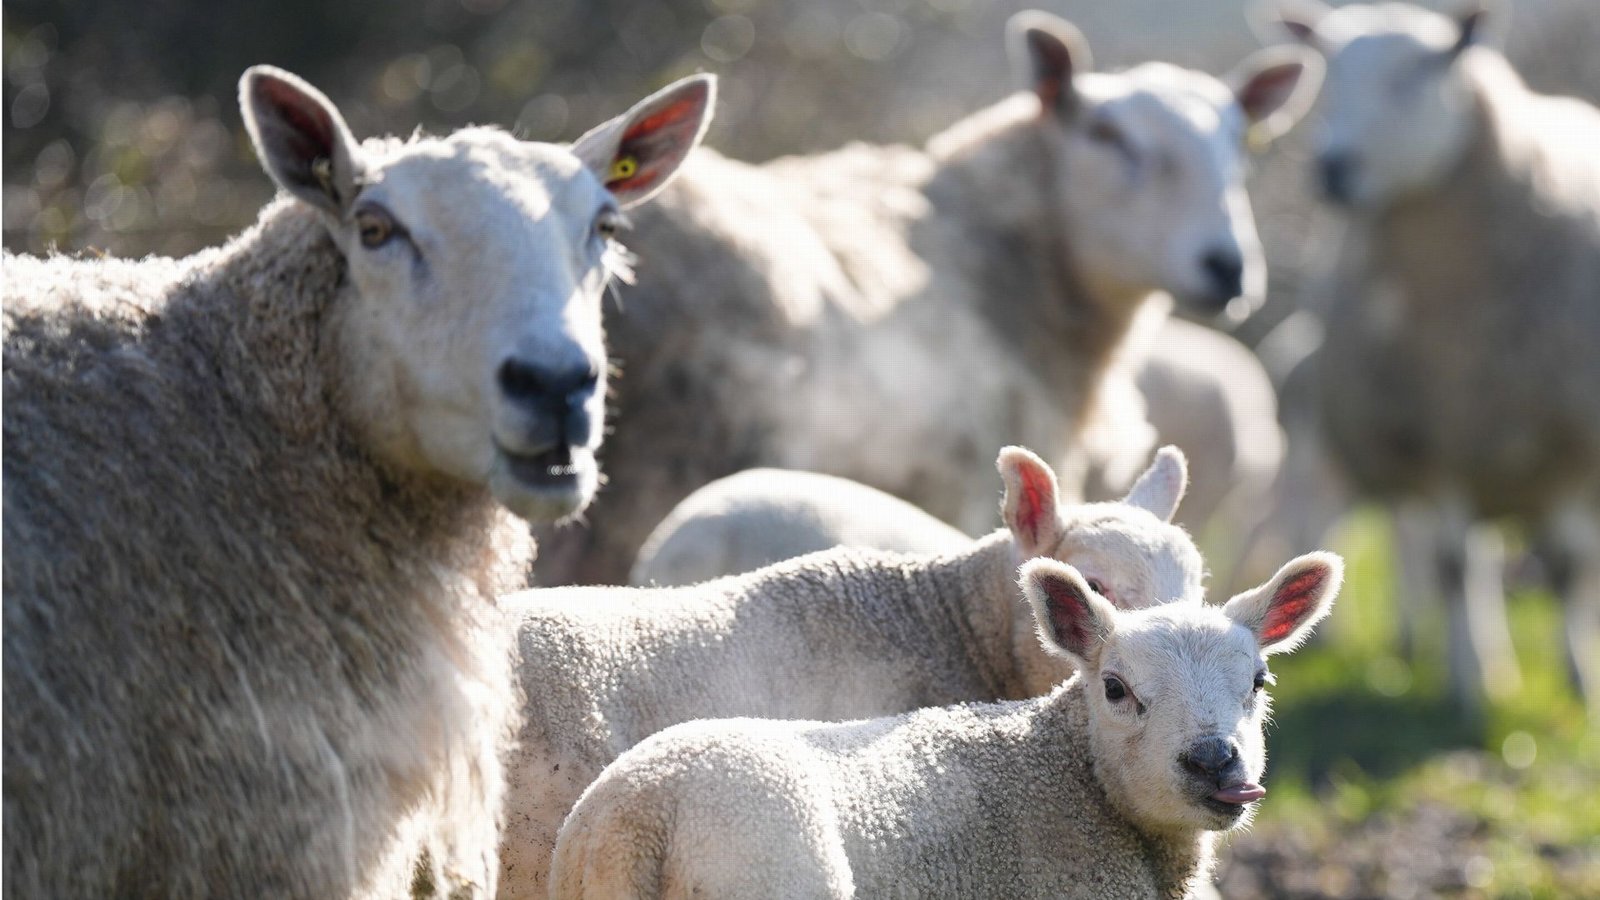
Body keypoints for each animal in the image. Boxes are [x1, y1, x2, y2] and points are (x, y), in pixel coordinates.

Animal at [1263, 0, 1600, 714]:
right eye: (1327, 80)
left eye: (1417, 74)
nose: (1331, 168)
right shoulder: (1431, 435)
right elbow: (1452, 565)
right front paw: (1472, 686)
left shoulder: (1569, 442)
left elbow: (1568, 567)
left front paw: (1579, 681)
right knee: (1422, 547)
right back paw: (1429, 646)